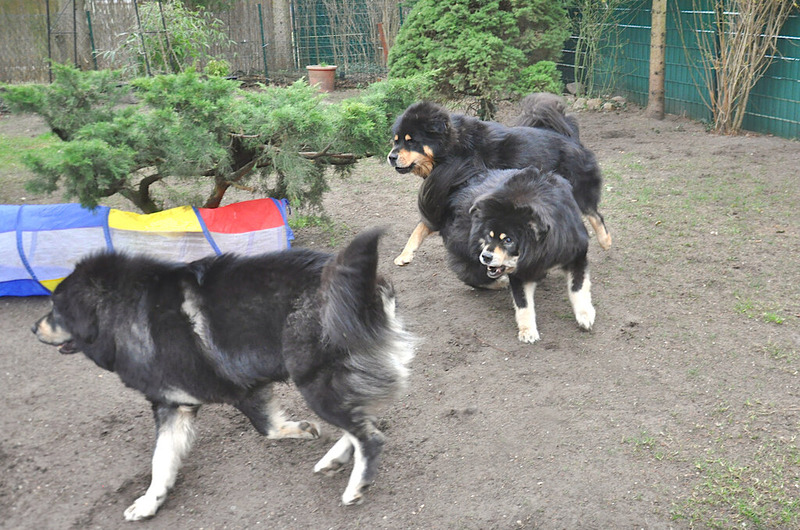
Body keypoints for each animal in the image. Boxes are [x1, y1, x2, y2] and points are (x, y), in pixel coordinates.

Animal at [32, 228, 414, 520]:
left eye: (55, 309)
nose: (34, 328)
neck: (126, 311)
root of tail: (366, 286)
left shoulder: (240, 389)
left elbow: (268, 428)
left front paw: (300, 429)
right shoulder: (173, 406)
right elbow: (161, 460)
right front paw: (150, 502)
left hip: (314, 381)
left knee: (369, 434)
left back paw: (355, 484)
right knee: (365, 419)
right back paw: (336, 458)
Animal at [387, 94, 611, 266]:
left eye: (411, 141)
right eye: (396, 141)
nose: (391, 156)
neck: (453, 149)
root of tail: (570, 136)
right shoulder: (442, 201)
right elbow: (419, 228)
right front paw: (405, 254)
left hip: (576, 189)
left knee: (594, 214)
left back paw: (605, 240)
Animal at [433, 163, 595, 343]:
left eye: (508, 240)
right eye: (489, 235)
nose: (486, 256)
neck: (543, 250)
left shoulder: (575, 252)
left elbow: (578, 287)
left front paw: (585, 315)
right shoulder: (520, 271)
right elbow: (523, 302)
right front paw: (527, 330)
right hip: (471, 251)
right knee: (469, 274)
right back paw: (500, 282)